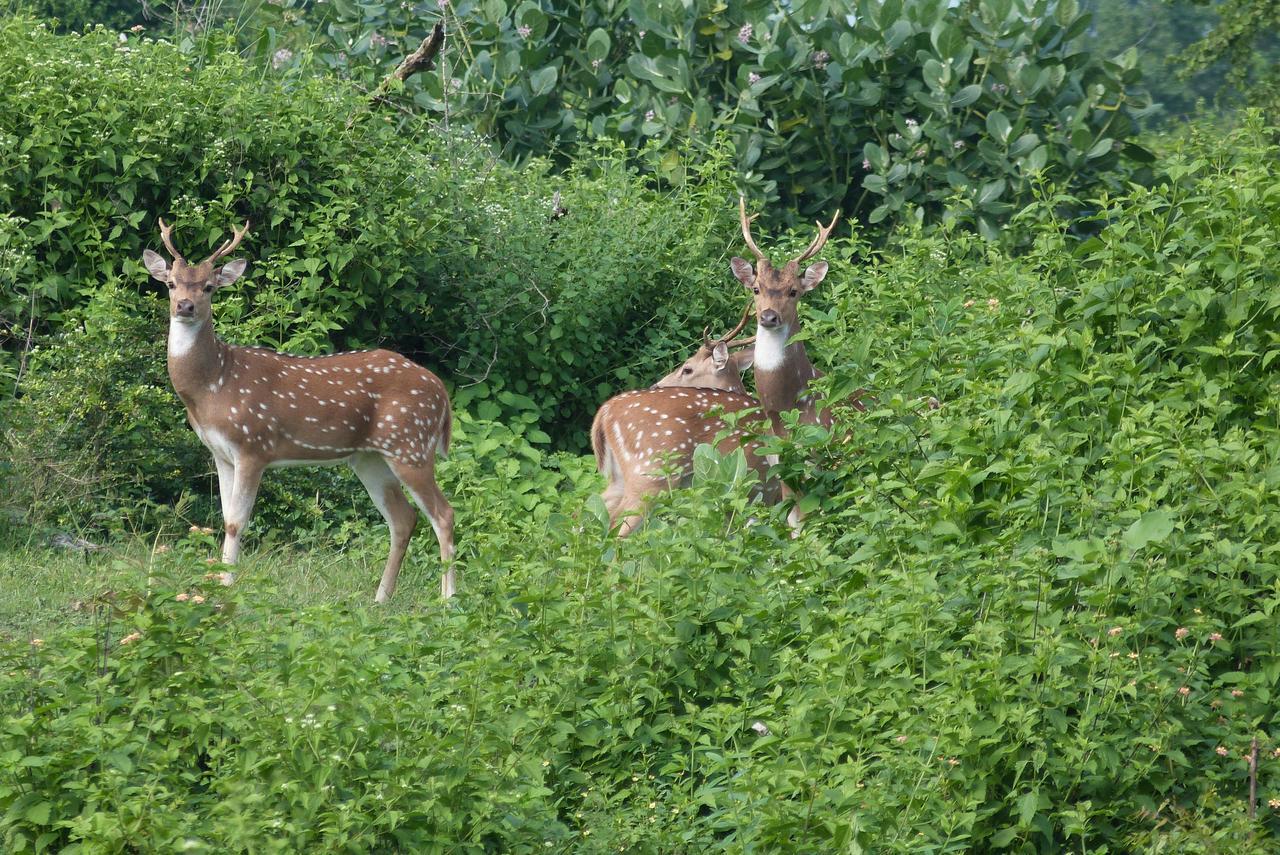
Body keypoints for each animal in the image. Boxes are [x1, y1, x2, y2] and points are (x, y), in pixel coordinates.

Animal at [142, 218, 455, 601]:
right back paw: (381, 598)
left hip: (411, 444)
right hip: (370, 457)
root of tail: (441, 391)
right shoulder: (221, 454)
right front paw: (217, 583)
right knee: (403, 518)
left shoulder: (253, 445)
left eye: (210, 287)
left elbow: (237, 521)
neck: (213, 386)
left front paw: (227, 587)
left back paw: (449, 599)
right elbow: (225, 518)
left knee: (443, 514)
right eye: (171, 283)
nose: (185, 306)